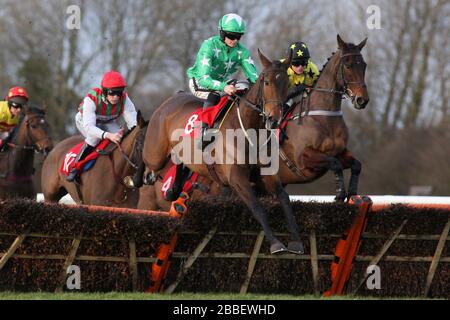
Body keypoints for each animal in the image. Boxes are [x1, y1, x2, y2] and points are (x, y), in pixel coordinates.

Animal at [141, 50, 302, 255]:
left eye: (287, 84)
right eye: (266, 82)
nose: (274, 119)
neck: (250, 130)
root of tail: (169, 101)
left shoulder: (266, 175)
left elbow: (285, 200)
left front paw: (296, 241)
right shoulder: (236, 178)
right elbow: (257, 207)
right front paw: (276, 243)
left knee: (178, 166)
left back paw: (172, 189)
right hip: (155, 154)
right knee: (148, 164)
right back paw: (147, 176)